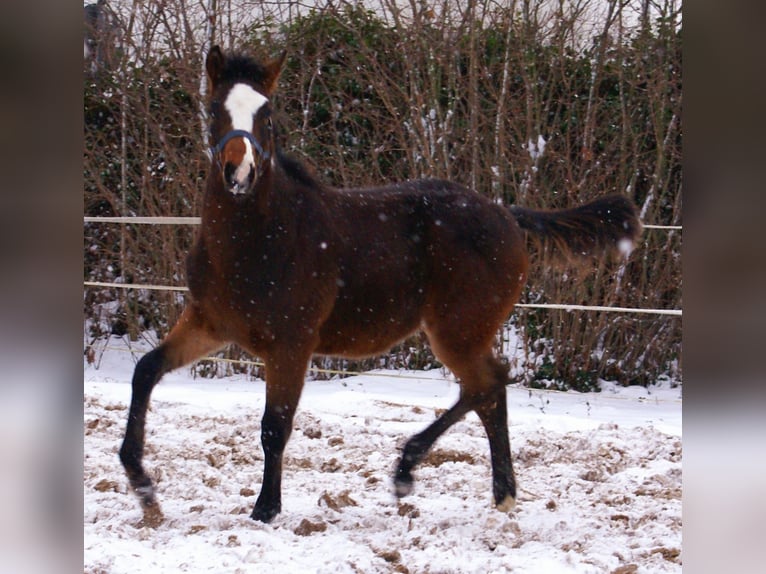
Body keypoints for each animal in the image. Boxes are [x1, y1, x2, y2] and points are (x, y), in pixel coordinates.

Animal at [119, 46, 642, 527]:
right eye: (215, 109)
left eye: (266, 114)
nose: (239, 174)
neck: (255, 242)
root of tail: (507, 215)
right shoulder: (209, 323)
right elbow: (145, 370)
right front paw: (142, 486)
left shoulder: (292, 343)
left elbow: (275, 425)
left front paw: (265, 509)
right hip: (461, 332)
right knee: (489, 391)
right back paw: (501, 494)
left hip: (457, 330)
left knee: (488, 384)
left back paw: (409, 471)